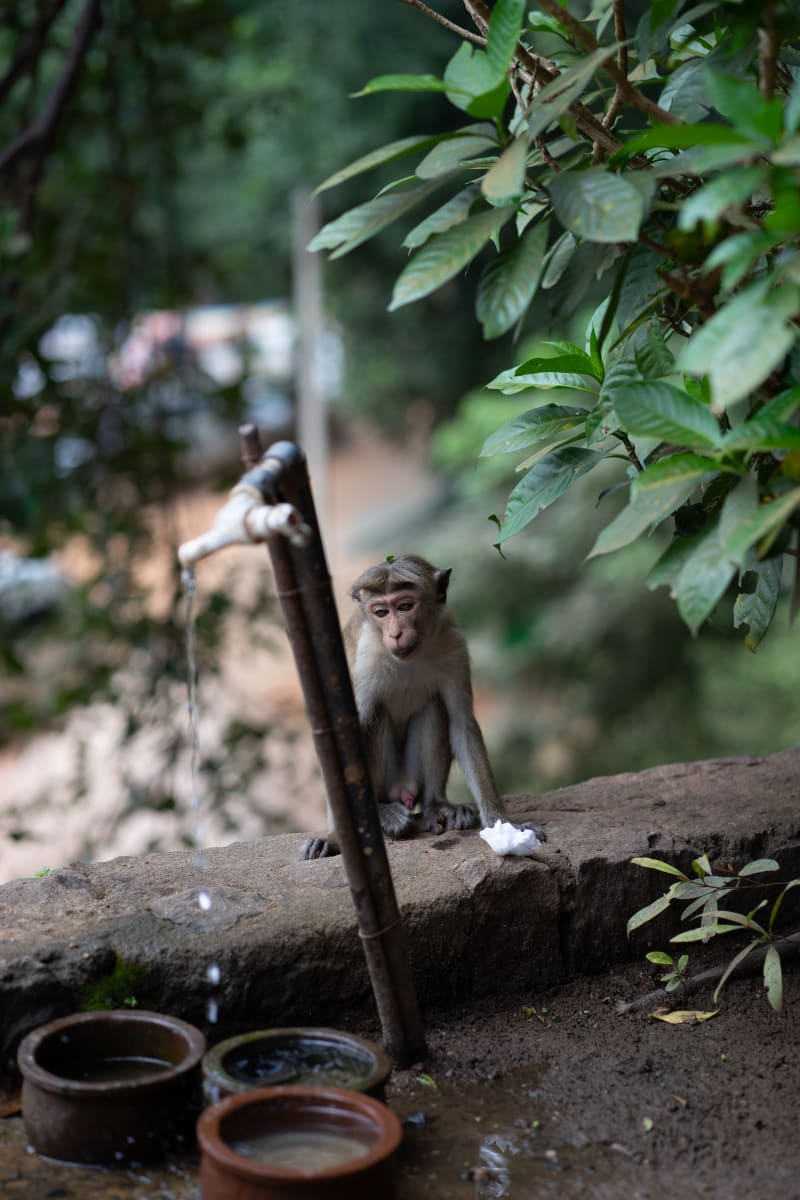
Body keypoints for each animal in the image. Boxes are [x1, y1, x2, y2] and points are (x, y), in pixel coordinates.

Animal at [303, 555, 538, 859]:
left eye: (404, 606)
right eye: (380, 612)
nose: (395, 633)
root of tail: (401, 790)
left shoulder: (454, 647)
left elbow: (462, 724)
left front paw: (504, 824)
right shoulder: (366, 661)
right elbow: (344, 739)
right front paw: (333, 839)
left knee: (434, 706)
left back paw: (435, 804)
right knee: (375, 717)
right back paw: (382, 812)